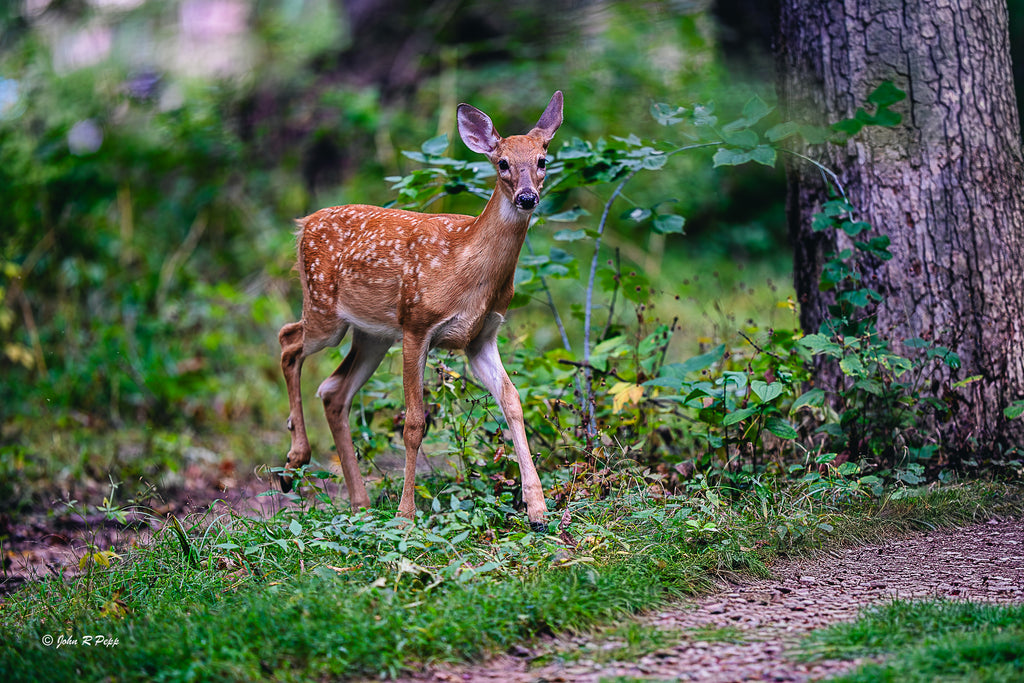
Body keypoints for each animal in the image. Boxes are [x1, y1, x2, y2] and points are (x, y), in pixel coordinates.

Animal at [276, 91, 563, 531]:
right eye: (502, 163)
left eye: (542, 160)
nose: (527, 197)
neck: (468, 267)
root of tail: (304, 223)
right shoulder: (417, 323)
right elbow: (414, 422)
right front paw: (405, 516)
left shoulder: (481, 337)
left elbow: (513, 402)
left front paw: (537, 509)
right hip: (325, 309)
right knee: (288, 341)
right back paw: (294, 462)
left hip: (372, 334)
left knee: (333, 390)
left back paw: (359, 502)